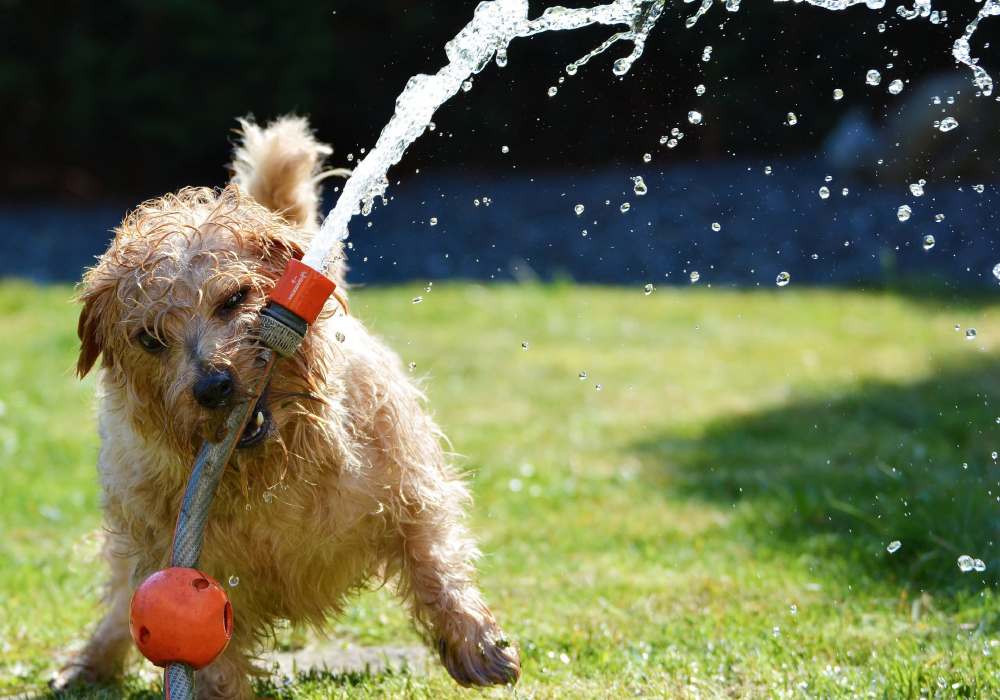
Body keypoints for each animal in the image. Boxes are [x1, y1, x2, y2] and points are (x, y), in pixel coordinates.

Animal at [52, 117, 524, 696]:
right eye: (149, 339)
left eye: (234, 299)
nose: (214, 386)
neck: (275, 470)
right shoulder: (186, 563)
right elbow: (211, 657)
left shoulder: (409, 488)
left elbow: (434, 561)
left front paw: (477, 643)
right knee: (122, 603)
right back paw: (89, 663)